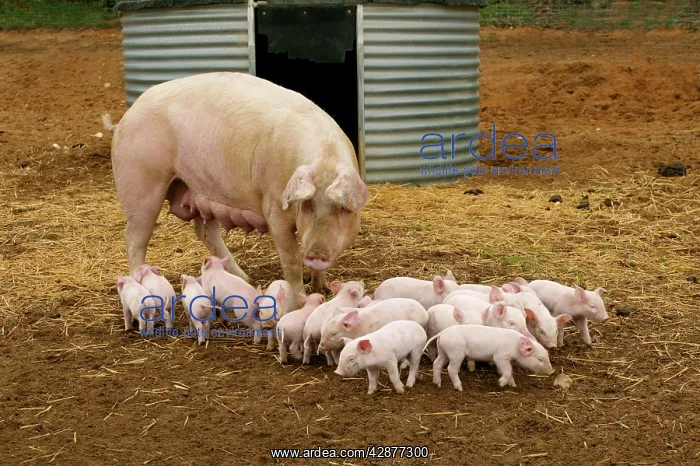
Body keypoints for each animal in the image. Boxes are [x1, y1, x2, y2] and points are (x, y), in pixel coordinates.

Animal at [105, 72, 369, 298]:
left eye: (344, 209)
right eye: (307, 204)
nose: (317, 254)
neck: (325, 158)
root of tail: (127, 117)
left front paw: (322, 288)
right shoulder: (274, 209)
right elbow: (292, 259)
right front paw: (301, 297)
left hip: (199, 189)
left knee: (205, 232)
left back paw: (246, 279)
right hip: (141, 185)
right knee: (134, 237)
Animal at [424, 324, 554, 391]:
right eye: (540, 358)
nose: (551, 371)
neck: (515, 346)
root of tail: (442, 333)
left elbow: (510, 372)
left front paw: (513, 385)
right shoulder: (500, 356)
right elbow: (507, 371)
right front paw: (500, 384)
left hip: (443, 351)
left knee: (437, 363)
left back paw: (437, 384)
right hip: (456, 352)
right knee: (451, 369)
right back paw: (460, 388)